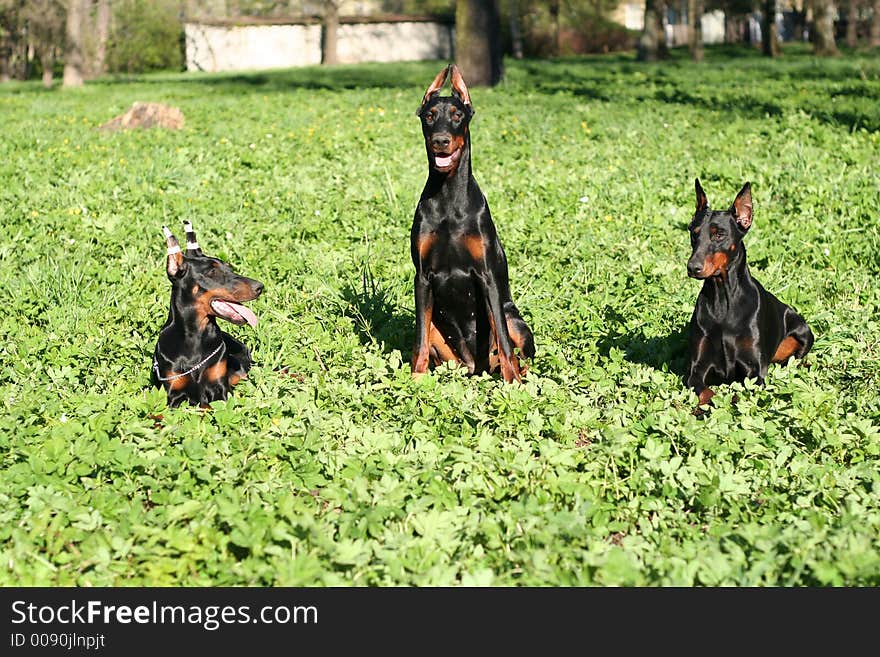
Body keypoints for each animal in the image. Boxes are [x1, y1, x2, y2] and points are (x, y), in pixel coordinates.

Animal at [153, 220, 262, 404]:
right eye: (212, 272)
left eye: (230, 268)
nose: (260, 287)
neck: (195, 336)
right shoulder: (173, 394)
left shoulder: (219, 389)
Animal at [410, 64, 532, 382]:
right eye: (429, 115)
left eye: (457, 115)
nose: (441, 140)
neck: (449, 198)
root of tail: (475, 366)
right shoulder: (422, 277)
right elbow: (419, 342)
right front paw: (414, 380)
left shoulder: (487, 276)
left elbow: (503, 340)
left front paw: (512, 384)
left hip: (514, 317)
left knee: (517, 352)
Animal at [684, 177, 816, 408]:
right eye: (694, 233)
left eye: (719, 234)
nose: (693, 267)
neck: (723, 300)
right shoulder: (696, 370)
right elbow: (707, 392)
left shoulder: (754, 371)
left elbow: (742, 394)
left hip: (803, 331)